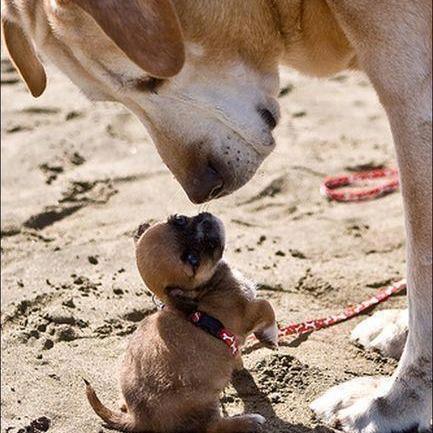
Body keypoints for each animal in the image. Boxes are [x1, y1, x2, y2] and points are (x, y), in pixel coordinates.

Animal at [86, 213, 278, 432]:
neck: (204, 291)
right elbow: (266, 305)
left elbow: (236, 352)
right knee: (213, 426)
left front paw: (239, 364)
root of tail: (138, 419)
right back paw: (250, 421)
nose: (207, 222)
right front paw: (270, 336)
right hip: (206, 403)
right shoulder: (246, 313)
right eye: (193, 260)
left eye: (180, 219)